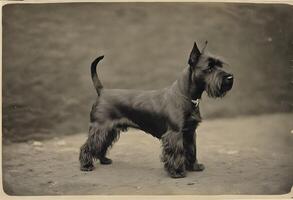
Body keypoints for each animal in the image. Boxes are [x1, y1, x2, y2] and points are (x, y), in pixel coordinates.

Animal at [78, 41, 233, 178]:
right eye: (209, 68)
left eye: (220, 65)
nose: (230, 77)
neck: (186, 96)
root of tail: (102, 91)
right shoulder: (174, 133)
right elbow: (177, 152)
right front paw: (177, 172)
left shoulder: (190, 132)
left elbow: (192, 149)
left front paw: (194, 166)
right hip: (101, 127)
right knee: (89, 145)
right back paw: (86, 166)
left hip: (110, 129)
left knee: (102, 144)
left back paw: (104, 160)